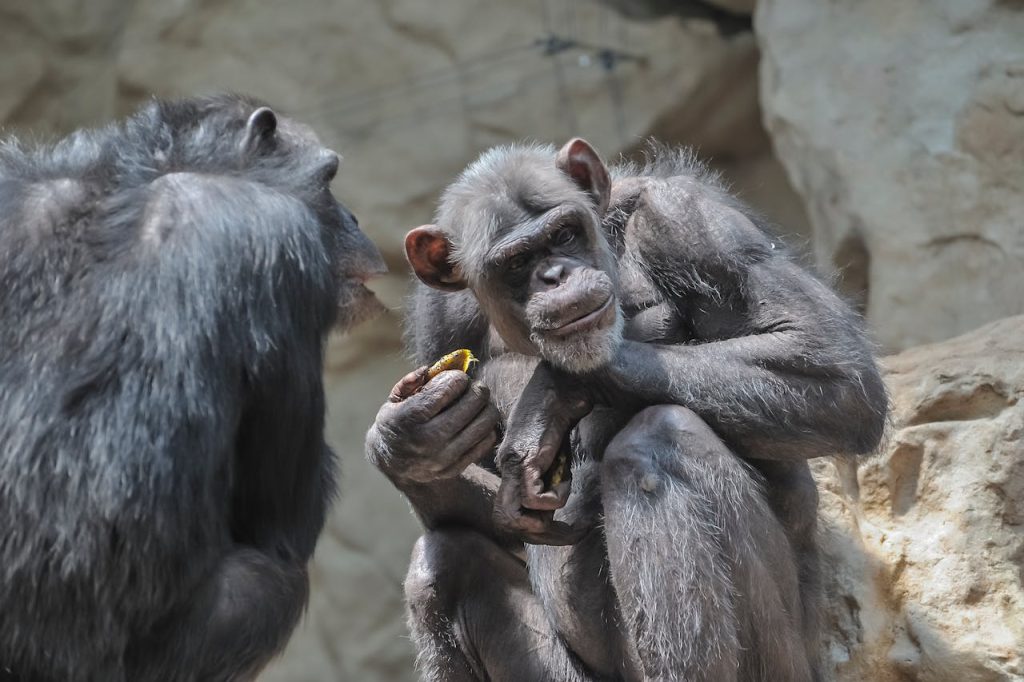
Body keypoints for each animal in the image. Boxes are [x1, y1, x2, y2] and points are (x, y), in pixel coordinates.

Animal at [366, 138, 888, 681]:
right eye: (516, 262)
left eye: (564, 233)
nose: (555, 276)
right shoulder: (437, 320)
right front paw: (409, 442)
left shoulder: (688, 220)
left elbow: (829, 365)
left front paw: (551, 391)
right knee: (443, 563)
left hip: (788, 663)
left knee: (658, 439)